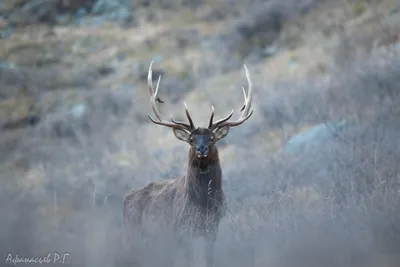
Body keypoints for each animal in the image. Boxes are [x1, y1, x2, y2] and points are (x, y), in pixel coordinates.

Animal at [122, 61, 253, 266]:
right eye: (191, 139)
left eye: (212, 138)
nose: (201, 150)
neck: (204, 203)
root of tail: (123, 203)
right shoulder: (181, 228)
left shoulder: (212, 227)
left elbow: (208, 259)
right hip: (136, 234)